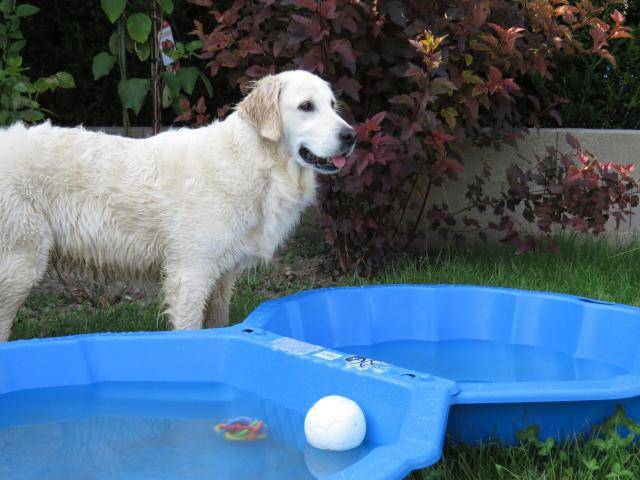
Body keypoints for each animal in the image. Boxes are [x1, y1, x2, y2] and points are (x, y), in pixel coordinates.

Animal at [0, 71, 356, 342]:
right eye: (306, 106)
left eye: (332, 105)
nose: (351, 135)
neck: (254, 161)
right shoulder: (190, 272)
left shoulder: (222, 277)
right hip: (20, 262)